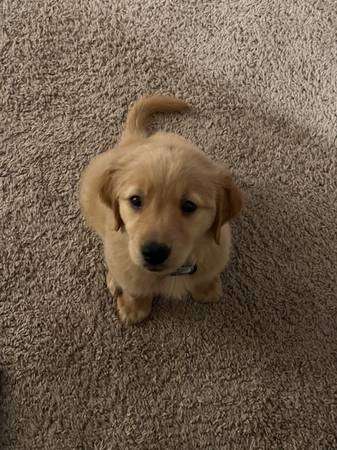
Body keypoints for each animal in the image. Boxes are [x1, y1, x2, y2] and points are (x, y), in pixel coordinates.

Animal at [79, 96, 242, 326]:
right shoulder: (127, 263)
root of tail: (135, 140)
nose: (154, 252)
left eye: (189, 206)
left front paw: (207, 289)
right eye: (135, 200)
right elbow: (135, 287)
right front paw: (134, 308)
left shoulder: (217, 251)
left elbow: (206, 275)